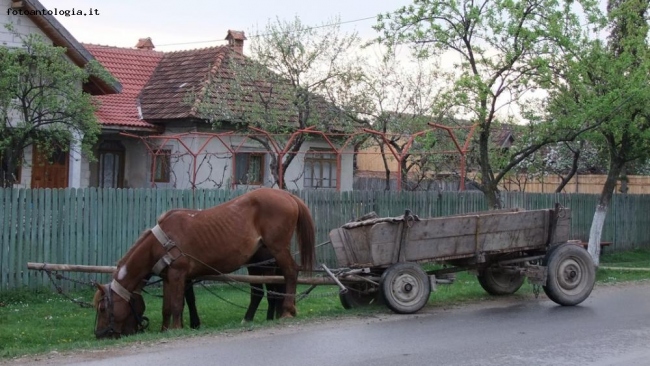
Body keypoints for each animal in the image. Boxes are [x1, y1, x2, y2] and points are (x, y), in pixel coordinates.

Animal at [92, 190, 312, 338]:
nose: (100, 334)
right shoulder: (168, 277)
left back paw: (287, 310)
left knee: (290, 273)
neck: (161, 242)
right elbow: (167, 306)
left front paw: (176, 328)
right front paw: (165, 329)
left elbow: (177, 304)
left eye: (102, 309)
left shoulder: (178, 275)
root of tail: (286, 195)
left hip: (277, 250)